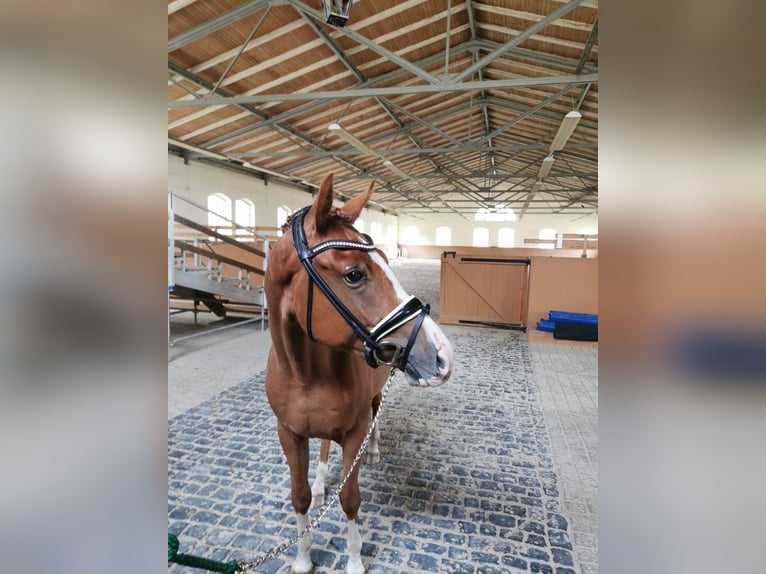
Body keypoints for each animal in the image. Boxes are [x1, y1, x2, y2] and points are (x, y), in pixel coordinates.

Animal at [264, 172, 454, 573]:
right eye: (354, 274)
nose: (442, 354)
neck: (305, 375)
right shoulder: (289, 434)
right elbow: (299, 496)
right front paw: (302, 558)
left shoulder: (352, 434)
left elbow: (351, 498)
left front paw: (353, 560)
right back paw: (322, 478)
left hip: (376, 396)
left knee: (375, 412)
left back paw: (375, 449)